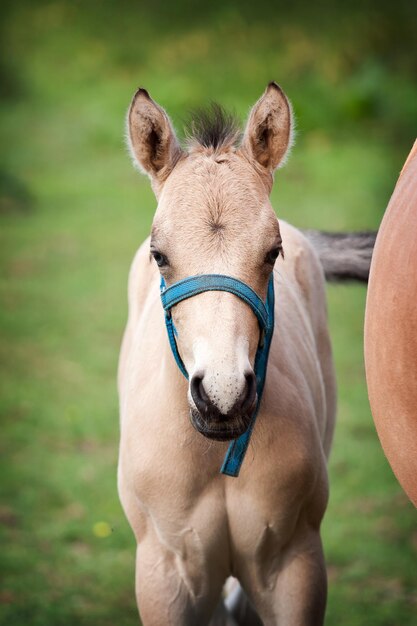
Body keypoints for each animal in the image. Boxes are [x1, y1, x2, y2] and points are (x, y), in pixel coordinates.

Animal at [116, 84, 334, 624]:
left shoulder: (295, 563)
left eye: (272, 252)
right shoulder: (164, 572)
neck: (215, 453)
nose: (223, 396)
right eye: (159, 255)